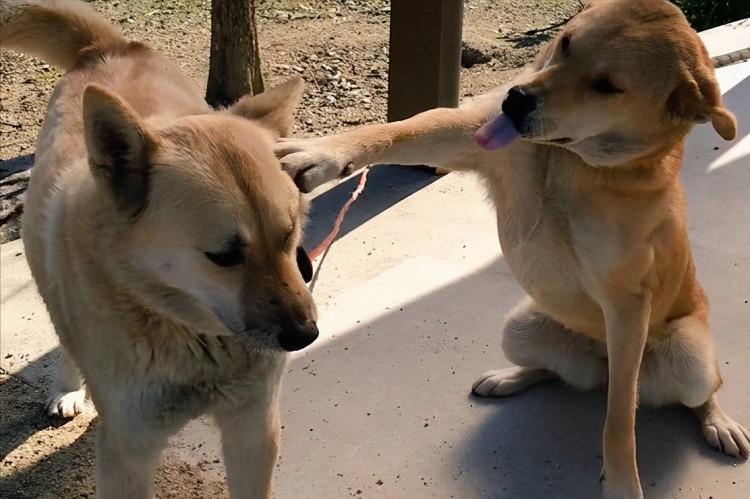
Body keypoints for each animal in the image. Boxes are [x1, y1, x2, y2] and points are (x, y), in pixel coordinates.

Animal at [0, 1, 318, 498]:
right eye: (223, 256)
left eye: (289, 236)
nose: (306, 336)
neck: (184, 330)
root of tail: (111, 47)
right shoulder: (127, 455)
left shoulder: (253, 430)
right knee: (64, 333)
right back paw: (68, 387)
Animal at [278, 1, 750, 498]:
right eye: (566, 42)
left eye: (607, 86)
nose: (516, 98)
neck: (570, 163)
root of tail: (597, 364)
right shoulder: (469, 137)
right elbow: (399, 129)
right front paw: (326, 152)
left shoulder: (627, 306)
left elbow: (620, 416)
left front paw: (622, 480)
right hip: (519, 329)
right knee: (555, 371)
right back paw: (510, 378)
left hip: (690, 358)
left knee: (695, 393)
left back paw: (718, 421)